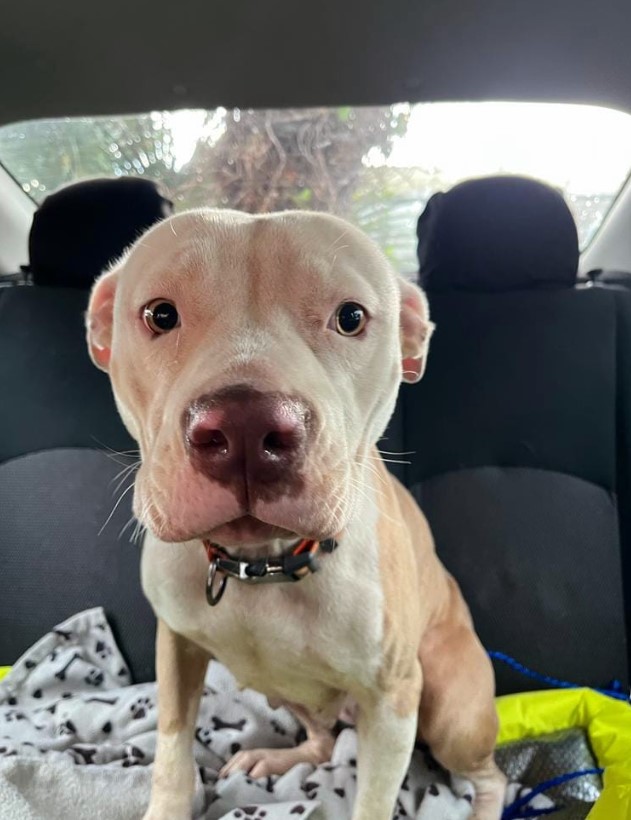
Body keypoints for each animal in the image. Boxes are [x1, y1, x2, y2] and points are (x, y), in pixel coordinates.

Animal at [86, 208, 506, 816]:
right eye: (160, 314)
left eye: (350, 317)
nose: (243, 426)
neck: (263, 564)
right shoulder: (177, 645)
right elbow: (171, 749)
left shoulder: (393, 701)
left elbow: (374, 802)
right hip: (286, 691)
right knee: (324, 739)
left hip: (451, 713)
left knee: (491, 775)